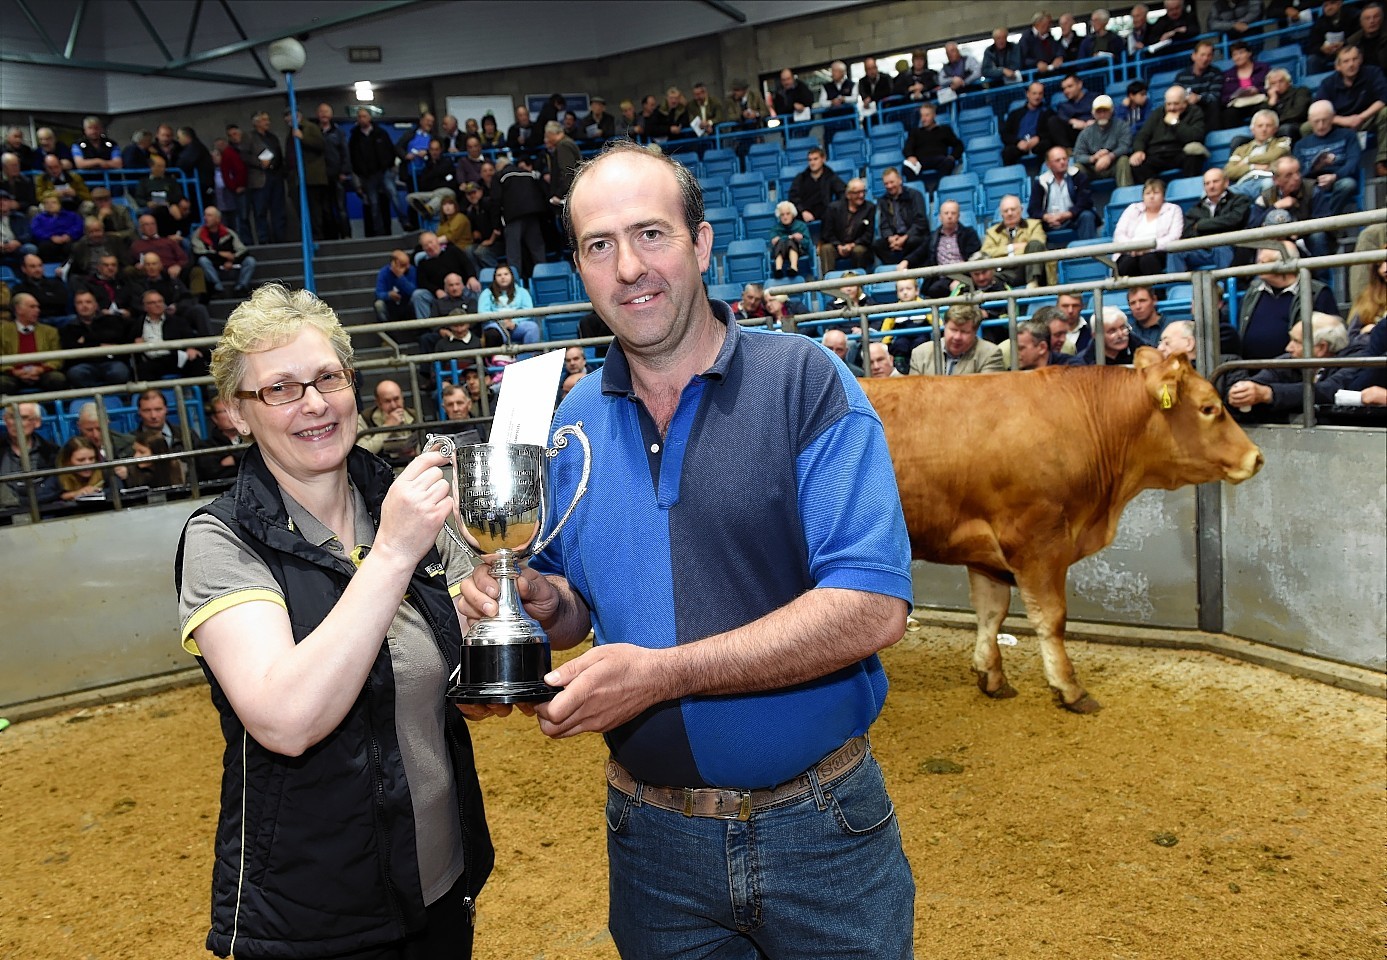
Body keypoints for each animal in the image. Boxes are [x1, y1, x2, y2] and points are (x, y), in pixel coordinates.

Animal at [865, 346, 1270, 710]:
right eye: (1209, 408)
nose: (1256, 457)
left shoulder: (986, 554)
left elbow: (991, 613)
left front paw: (991, 675)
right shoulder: (1038, 544)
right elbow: (1052, 618)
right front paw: (1068, 687)